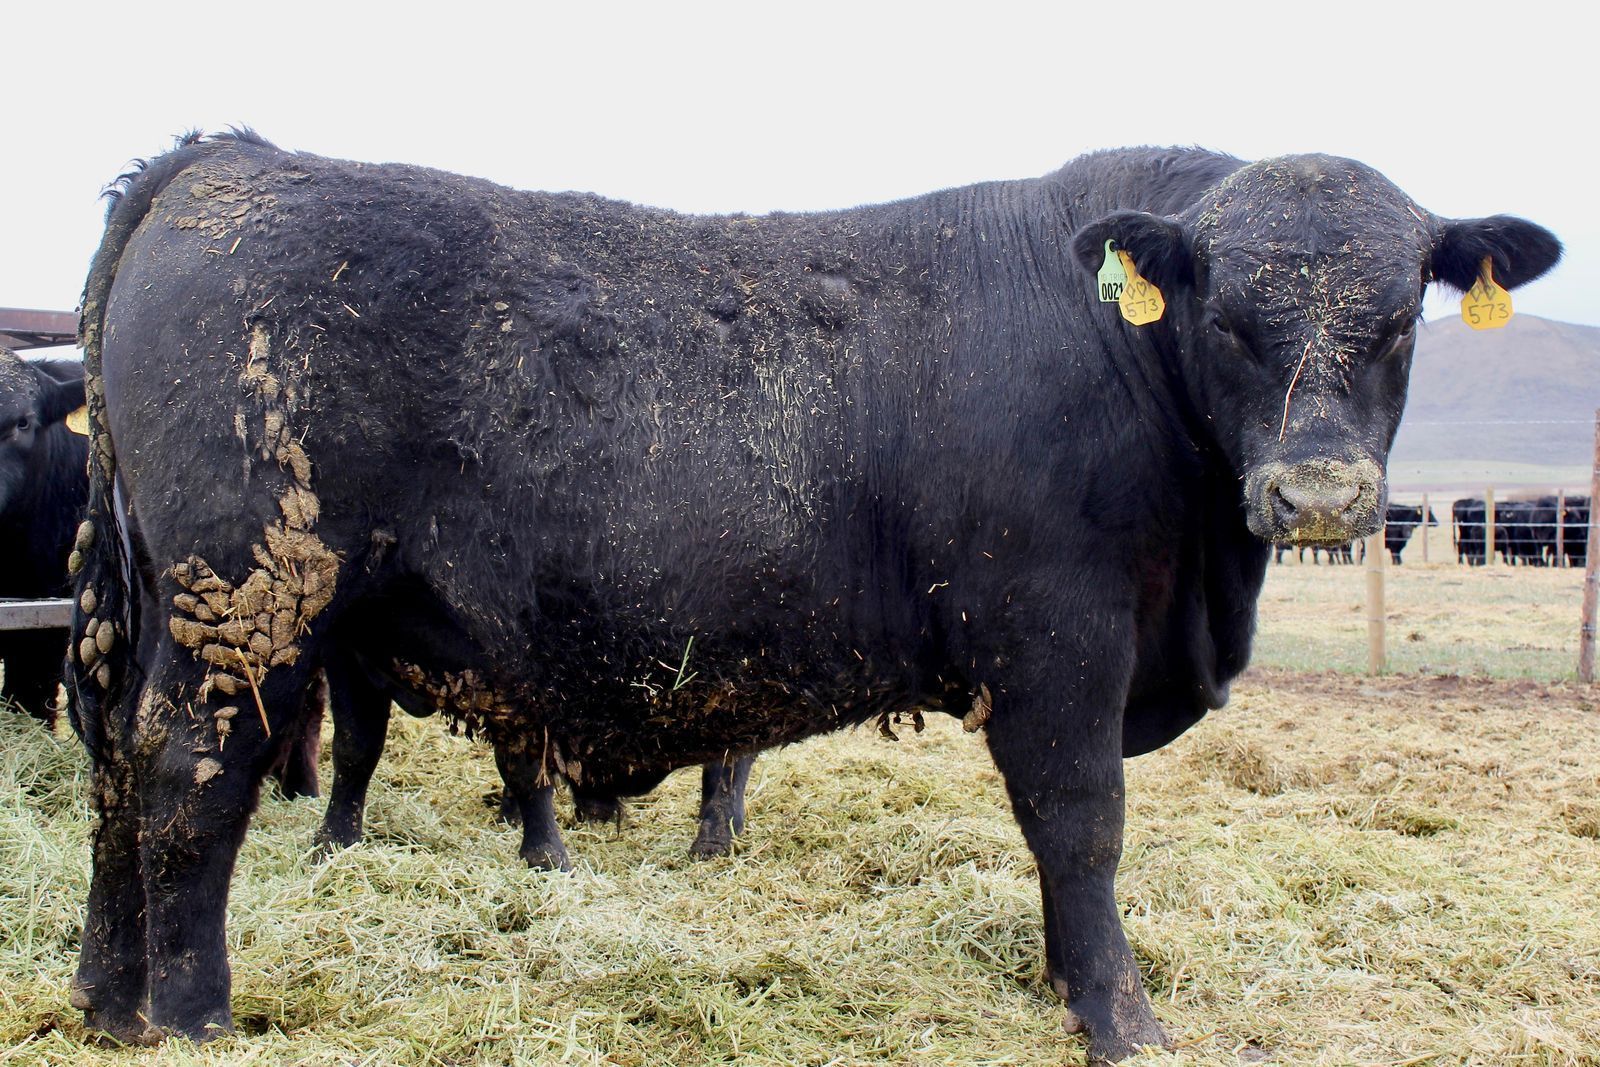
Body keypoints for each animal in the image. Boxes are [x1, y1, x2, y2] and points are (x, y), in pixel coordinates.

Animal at [65, 132, 1559, 1063]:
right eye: (1232, 317)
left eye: (1401, 319)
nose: (1317, 496)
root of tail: (229, 159)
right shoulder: (1058, 646)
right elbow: (1081, 829)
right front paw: (1119, 1015)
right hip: (246, 603)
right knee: (190, 775)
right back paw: (192, 1014)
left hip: (158, 611)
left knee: (117, 767)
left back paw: (103, 995)